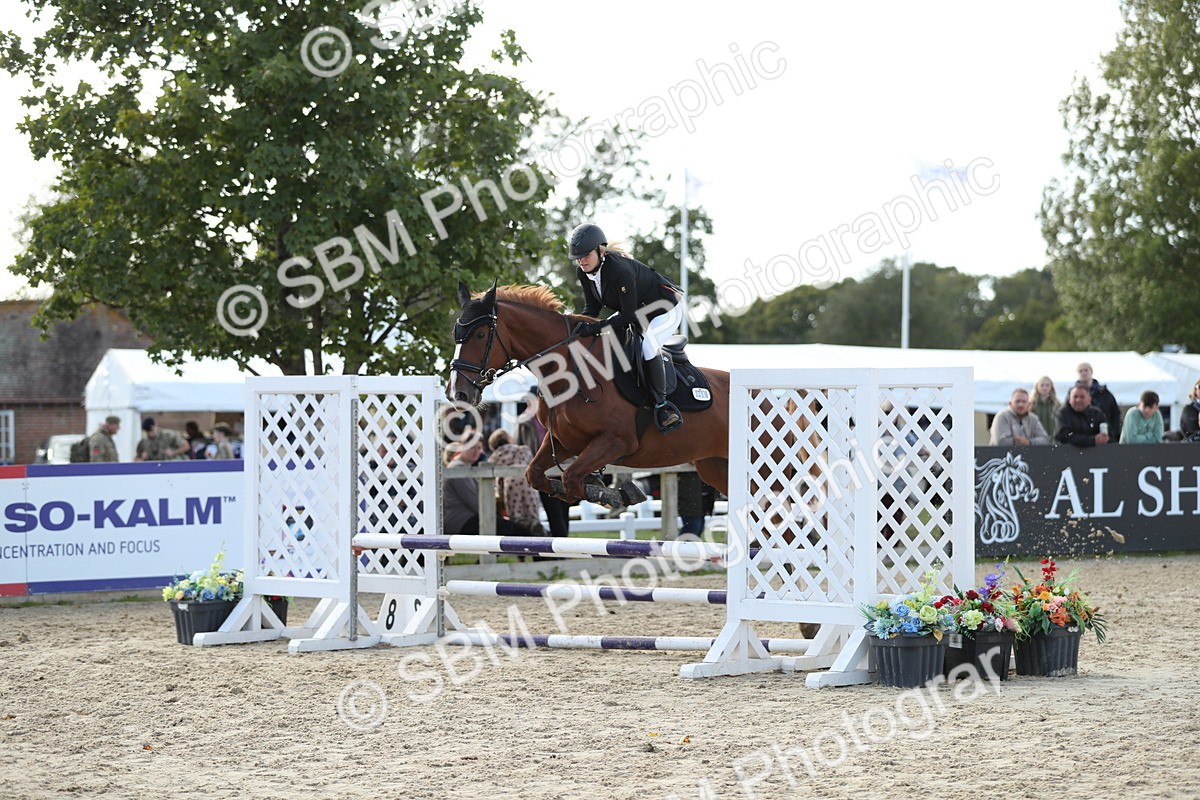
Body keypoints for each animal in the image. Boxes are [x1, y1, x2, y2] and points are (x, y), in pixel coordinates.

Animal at [447, 281, 730, 503]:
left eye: (480, 335)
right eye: (455, 334)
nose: (457, 394)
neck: (570, 370)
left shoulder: (618, 440)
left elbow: (571, 477)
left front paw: (615, 495)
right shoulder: (564, 441)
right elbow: (536, 474)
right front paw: (597, 488)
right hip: (715, 466)